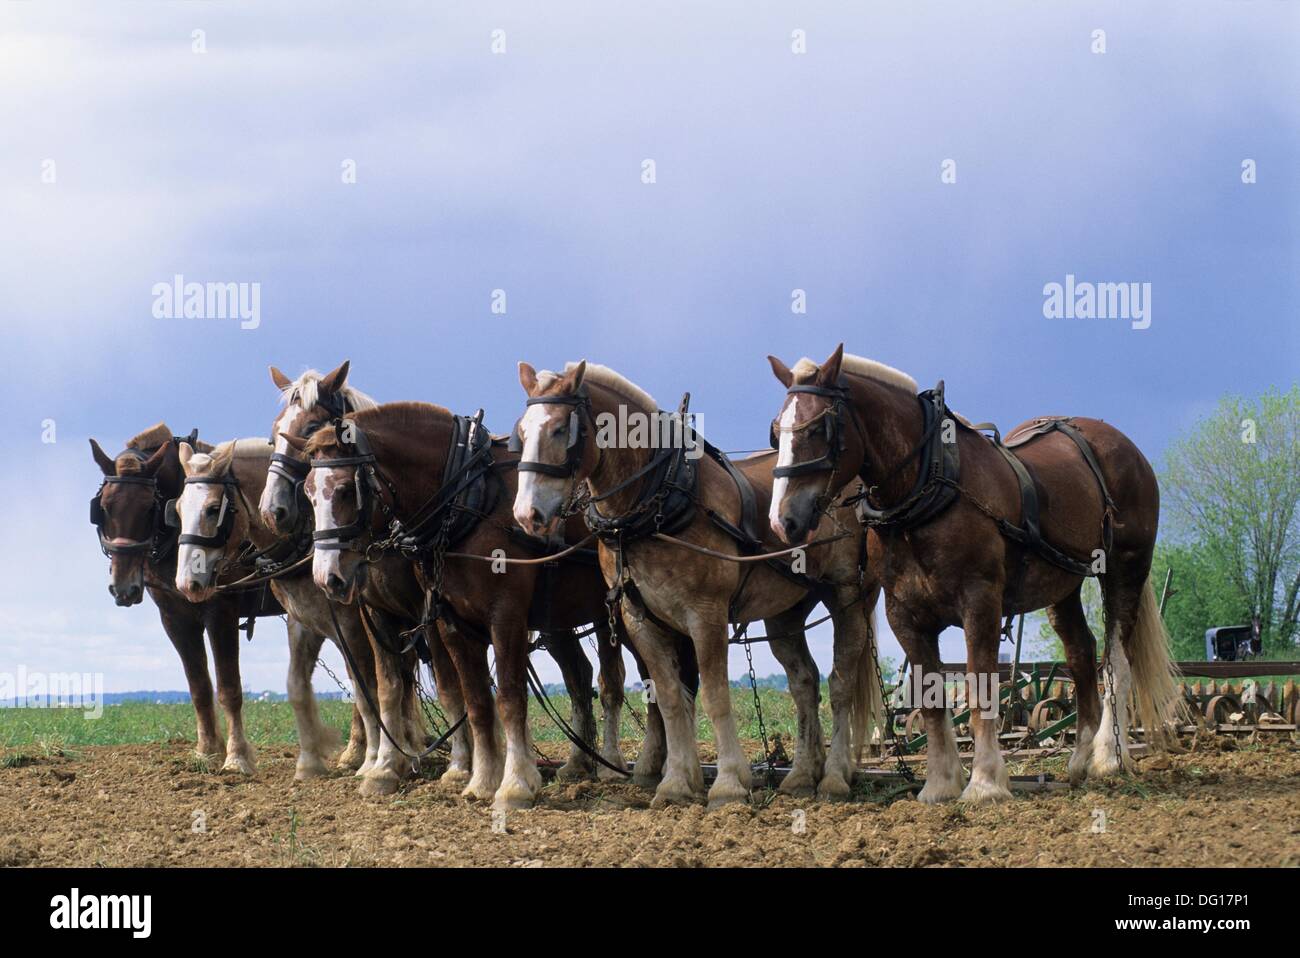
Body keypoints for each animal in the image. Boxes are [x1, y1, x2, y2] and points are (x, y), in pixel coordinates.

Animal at [171, 436, 391, 782]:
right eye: (179, 508)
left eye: (213, 509)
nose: (186, 583)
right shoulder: (306, 621)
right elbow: (299, 685)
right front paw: (312, 763)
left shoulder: (352, 623)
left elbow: (367, 686)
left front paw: (373, 759)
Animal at [259, 363, 473, 796]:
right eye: (275, 430)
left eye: (310, 427)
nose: (273, 511)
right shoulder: (370, 613)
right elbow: (384, 686)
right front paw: (386, 763)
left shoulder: (425, 613)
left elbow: (445, 683)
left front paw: (455, 764)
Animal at [288, 398, 658, 810]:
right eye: (308, 493)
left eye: (344, 491)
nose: (327, 578)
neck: (468, 500)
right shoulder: (446, 622)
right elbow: (470, 699)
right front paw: (476, 779)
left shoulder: (504, 616)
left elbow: (508, 697)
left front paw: (514, 784)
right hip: (561, 619)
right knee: (584, 677)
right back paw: (582, 764)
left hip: (627, 614)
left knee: (635, 680)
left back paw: (633, 764)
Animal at [511, 360, 882, 808]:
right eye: (521, 432)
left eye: (559, 430)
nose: (526, 514)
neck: (655, 503)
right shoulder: (639, 618)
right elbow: (671, 696)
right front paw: (676, 783)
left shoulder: (706, 614)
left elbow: (715, 696)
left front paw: (728, 783)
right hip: (786, 610)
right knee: (804, 682)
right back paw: (800, 775)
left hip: (848, 595)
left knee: (840, 681)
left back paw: (835, 775)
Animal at [767, 345, 1184, 804]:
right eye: (776, 432)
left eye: (818, 428)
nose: (782, 520)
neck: (926, 485)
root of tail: (1120, 444)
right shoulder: (904, 614)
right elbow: (931, 696)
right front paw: (940, 783)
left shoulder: (980, 601)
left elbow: (981, 687)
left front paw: (985, 783)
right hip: (1064, 583)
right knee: (1080, 653)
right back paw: (1079, 760)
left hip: (1126, 566)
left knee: (1116, 659)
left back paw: (1109, 757)